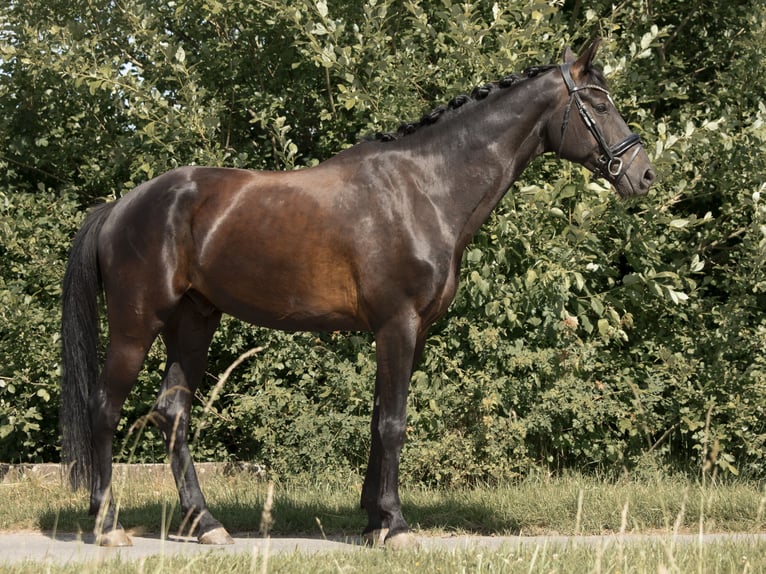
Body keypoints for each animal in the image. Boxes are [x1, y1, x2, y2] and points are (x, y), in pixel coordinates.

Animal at [60, 39, 655, 549]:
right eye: (598, 103)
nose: (644, 174)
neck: (425, 188)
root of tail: (120, 206)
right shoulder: (397, 324)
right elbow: (393, 425)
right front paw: (396, 525)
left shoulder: (410, 333)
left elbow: (378, 421)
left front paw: (374, 520)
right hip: (138, 323)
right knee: (104, 408)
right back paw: (107, 524)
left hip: (194, 322)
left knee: (172, 414)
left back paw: (205, 524)